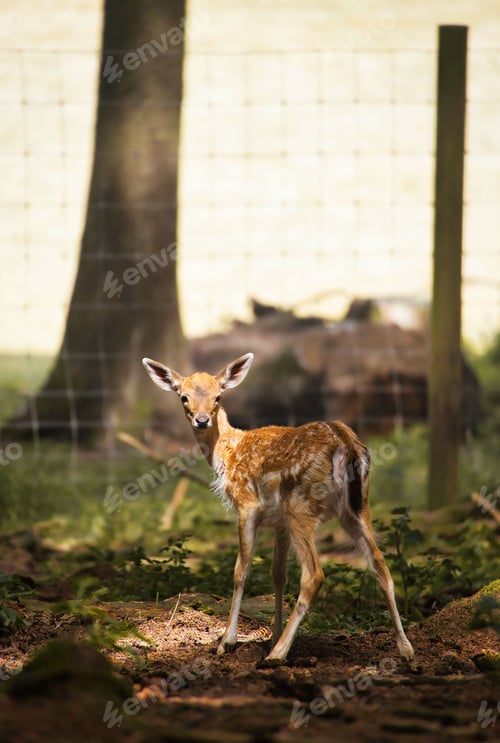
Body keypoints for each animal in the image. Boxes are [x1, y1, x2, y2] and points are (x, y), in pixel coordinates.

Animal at [142, 352, 414, 664]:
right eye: (184, 397)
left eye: (218, 396)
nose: (202, 420)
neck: (227, 451)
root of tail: (344, 442)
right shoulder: (279, 522)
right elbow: (277, 573)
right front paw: (272, 634)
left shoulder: (246, 505)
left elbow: (241, 570)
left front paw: (227, 641)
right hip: (357, 507)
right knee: (381, 565)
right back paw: (406, 649)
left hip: (302, 505)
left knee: (314, 574)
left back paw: (278, 654)